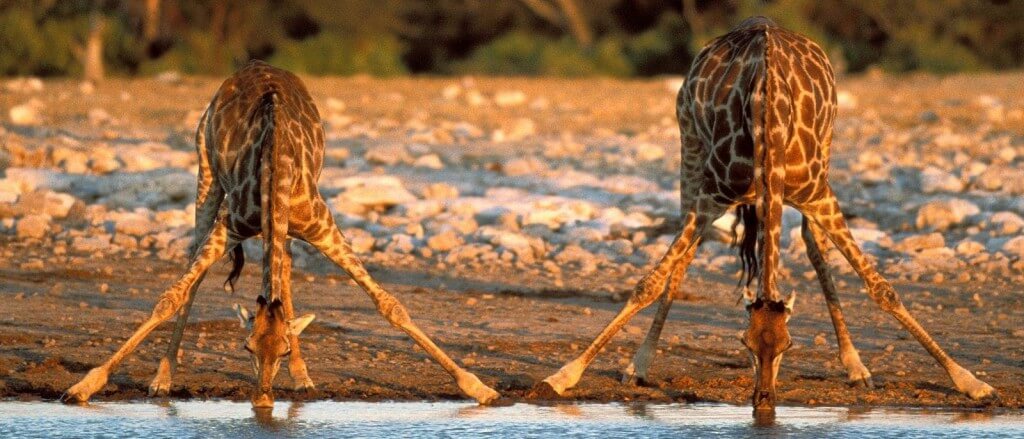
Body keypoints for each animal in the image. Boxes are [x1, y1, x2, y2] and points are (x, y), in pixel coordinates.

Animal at [61, 60, 500, 408]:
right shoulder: (230, 225)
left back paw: (303, 377)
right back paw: (162, 379)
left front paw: (479, 388)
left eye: (283, 348)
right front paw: (84, 387)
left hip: (282, 223)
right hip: (206, 171)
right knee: (196, 266)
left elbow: (390, 306)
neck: (276, 165)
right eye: (246, 346)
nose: (263, 400)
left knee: (284, 272)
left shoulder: (322, 226)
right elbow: (170, 297)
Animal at [532, 17, 995, 411]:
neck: (768, 119)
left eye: (789, 345)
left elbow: (883, 289)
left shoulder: (818, 194)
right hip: (689, 148)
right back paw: (640, 364)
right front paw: (564, 375)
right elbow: (649, 282)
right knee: (684, 256)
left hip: (826, 152)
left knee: (813, 244)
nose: (764, 401)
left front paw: (971, 381)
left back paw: (856, 366)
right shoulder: (710, 197)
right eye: (744, 343)